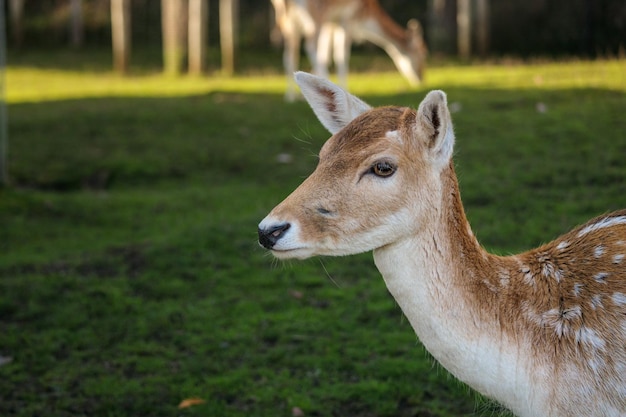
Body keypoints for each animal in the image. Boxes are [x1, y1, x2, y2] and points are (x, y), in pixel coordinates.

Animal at [270, 0, 426, 101]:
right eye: (423, 53)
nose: (421, 79)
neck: (366, 18)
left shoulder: (332, 22)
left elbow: (326, 54)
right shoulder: (347, 18)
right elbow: (341, 55)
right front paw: (343, 89)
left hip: (289, 19)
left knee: (289, 53)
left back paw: (290, 96)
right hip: (315, 12)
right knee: (310, 44)